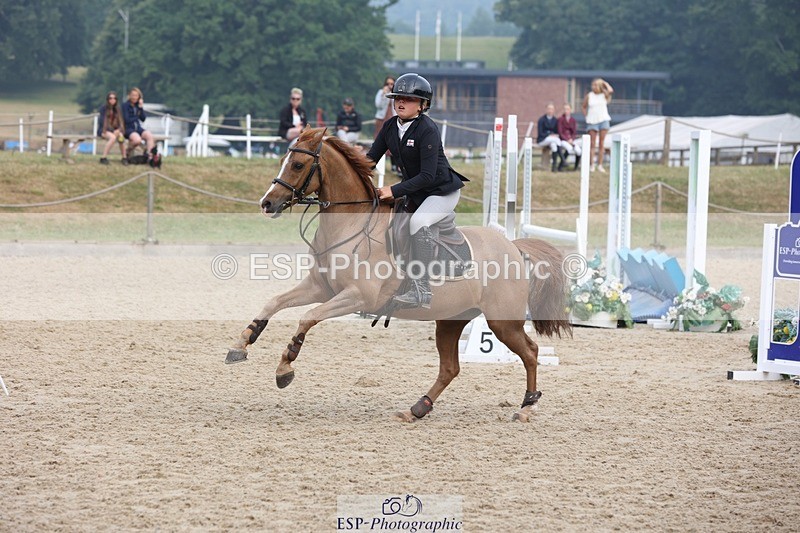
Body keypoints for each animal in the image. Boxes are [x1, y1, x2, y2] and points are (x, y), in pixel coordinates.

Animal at [225, 127, 572, 422]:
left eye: (297, 165)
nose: (267, 203)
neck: (351, 224)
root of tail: (513, 246)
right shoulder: (321, 287)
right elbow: (274, 303)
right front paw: (241, 344)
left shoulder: (356, 298)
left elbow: (307, 318)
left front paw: (285, 367)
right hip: (451, 320)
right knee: (450, 368)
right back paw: (417, 409)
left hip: (502, 322)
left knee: (530, 352)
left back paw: (526, 408)